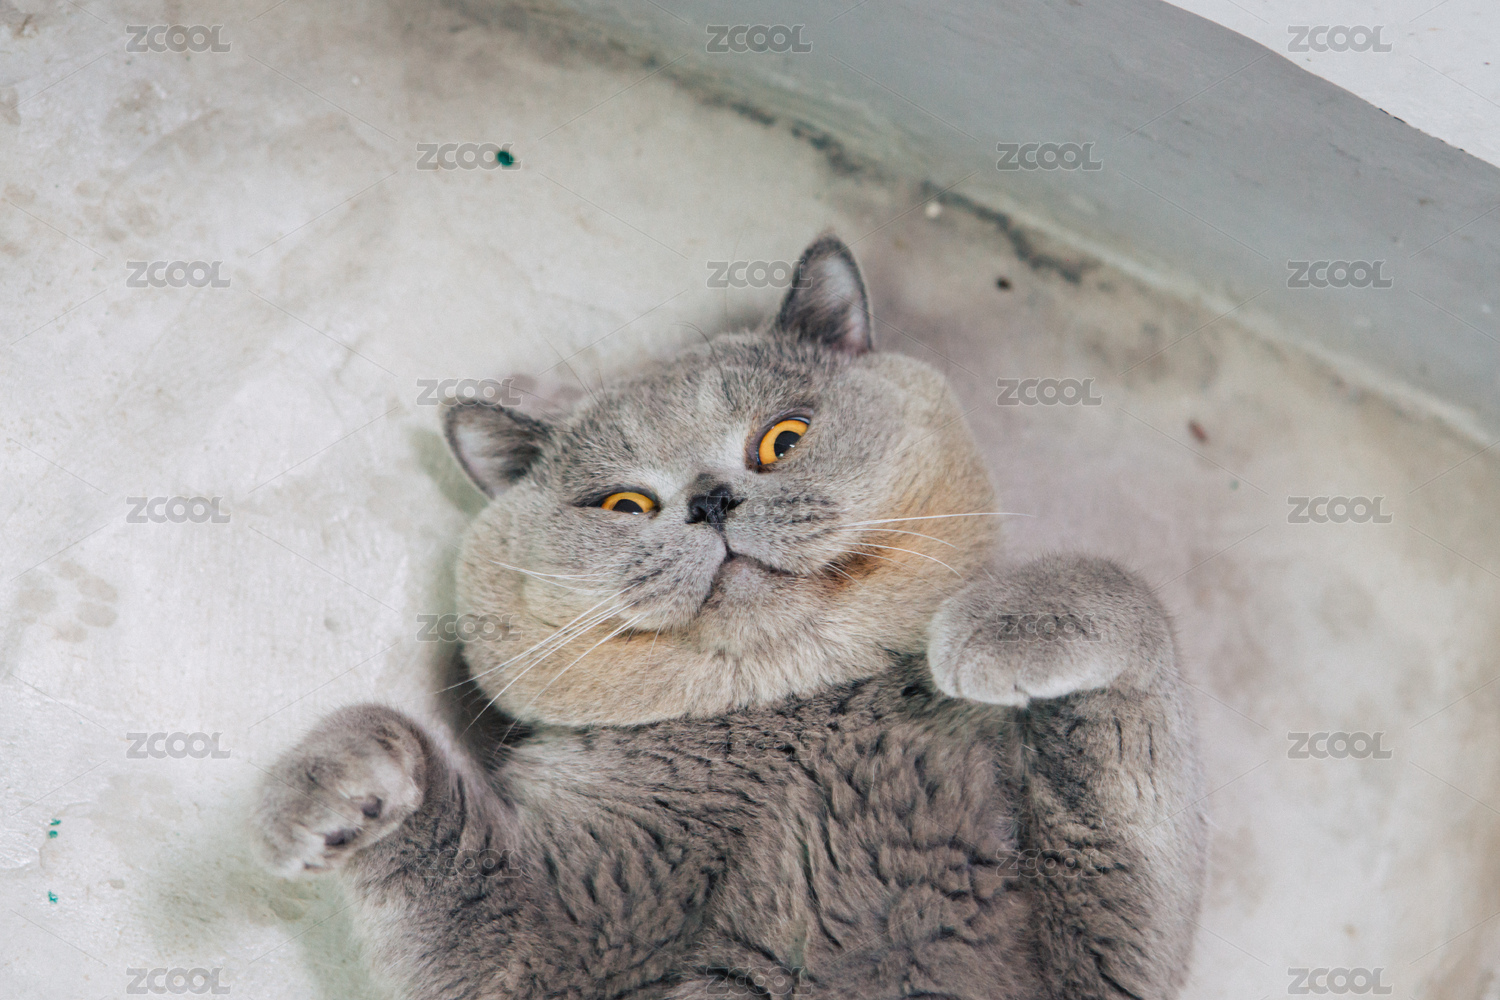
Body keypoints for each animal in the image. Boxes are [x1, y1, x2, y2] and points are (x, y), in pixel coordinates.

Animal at [254, 235, 1207, 999]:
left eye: (782, 439)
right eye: (624, 504)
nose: (710, 501)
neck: (795, 723)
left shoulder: (1101, 953)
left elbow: (1126, 616)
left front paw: (997, 628)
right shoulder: (552, 942)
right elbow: (475, 908)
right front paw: (339, 784)